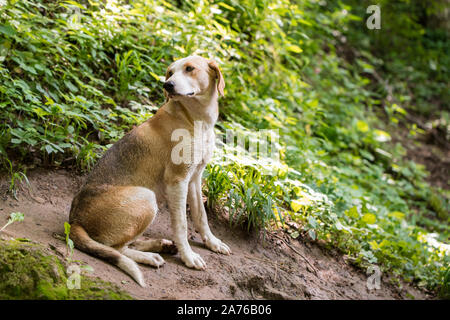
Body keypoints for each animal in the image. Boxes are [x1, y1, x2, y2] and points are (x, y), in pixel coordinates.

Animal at [70, 55, 232, 288]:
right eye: (170, 72)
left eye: (189, 69)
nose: (167, 85)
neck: (196, 120)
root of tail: (74, 219)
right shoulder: (177, 181)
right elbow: (181, 224)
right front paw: (188, 257)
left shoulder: (194, 179)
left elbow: (201, 217)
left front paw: (213, 243)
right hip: (146, 198)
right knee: (116, 248)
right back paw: (150, 256)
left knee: (126, 244)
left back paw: (161, 246)